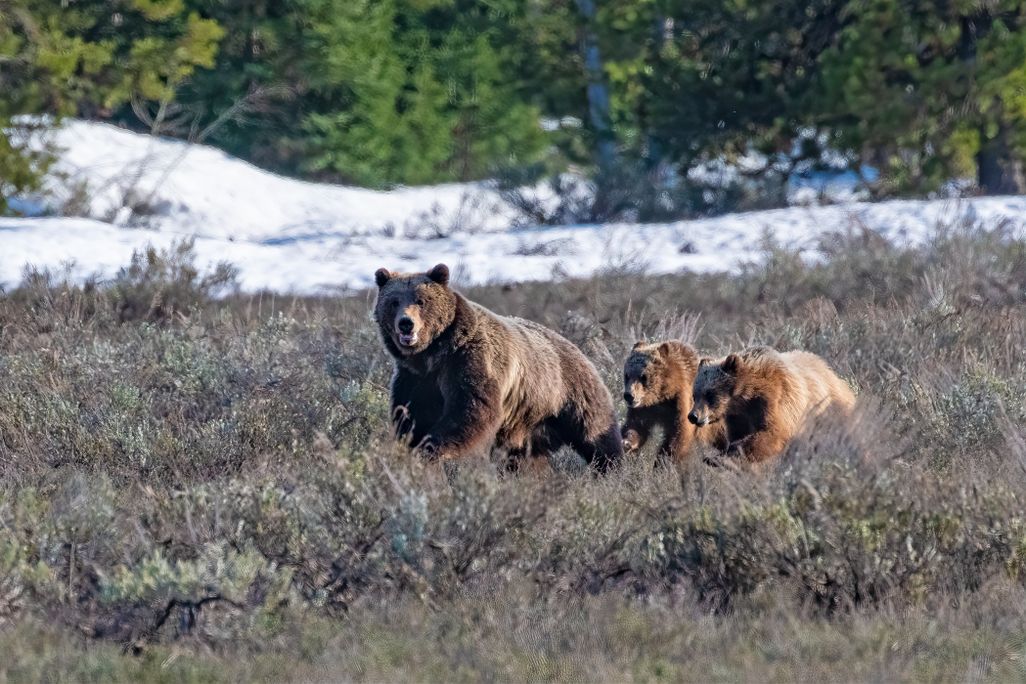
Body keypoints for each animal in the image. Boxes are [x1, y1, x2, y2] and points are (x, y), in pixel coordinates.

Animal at [373, 263, 623, 472]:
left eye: (421, 300)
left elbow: (470, 409)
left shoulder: (469, 362)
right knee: (526, 460)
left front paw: (432, 448)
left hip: (569, 393)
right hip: (527, 427)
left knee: (596, 434)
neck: (433, 354)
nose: (406, 323)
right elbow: (412, 416)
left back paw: (612, 470)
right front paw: (414, 449)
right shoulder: (416, 378)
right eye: (393, 302)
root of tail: (576, 346)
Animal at [688, 346, 856, 463]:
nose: (693, 416)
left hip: (827, 415)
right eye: (695, 395)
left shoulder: (777, 400)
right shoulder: (738, 417)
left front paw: (721, 458)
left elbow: (773, 433)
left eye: (710, 394)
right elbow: (738, 435)